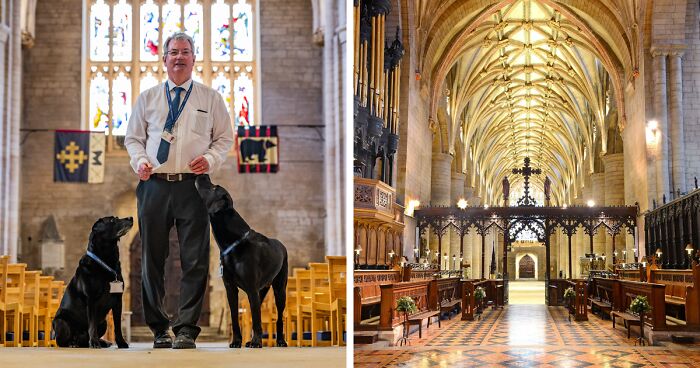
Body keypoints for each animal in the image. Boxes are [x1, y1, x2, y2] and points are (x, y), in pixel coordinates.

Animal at [52, 216, 133, 348]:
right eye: (112, 220)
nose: (131, 217)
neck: (106, 260)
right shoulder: (91, 298)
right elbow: (92, 324)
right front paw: (94, 342)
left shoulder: (118, 300)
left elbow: (117, 326)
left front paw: (121, 342)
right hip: (60, 322)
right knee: (61, 341)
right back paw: (73, 344)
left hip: (104, 322)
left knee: (85, 339)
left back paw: (102, 342)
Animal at [194, 175, 288, 348]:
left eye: (213, 187)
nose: (202, 175)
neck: (233, 243)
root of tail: (281, 244)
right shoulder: (230, 288)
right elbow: (235, 316)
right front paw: (237, 341)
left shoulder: (251, 288)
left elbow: (257, 318)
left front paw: (257, 342)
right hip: (261, 291)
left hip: (280, 289)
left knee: (278, 317)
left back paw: (280, 341)